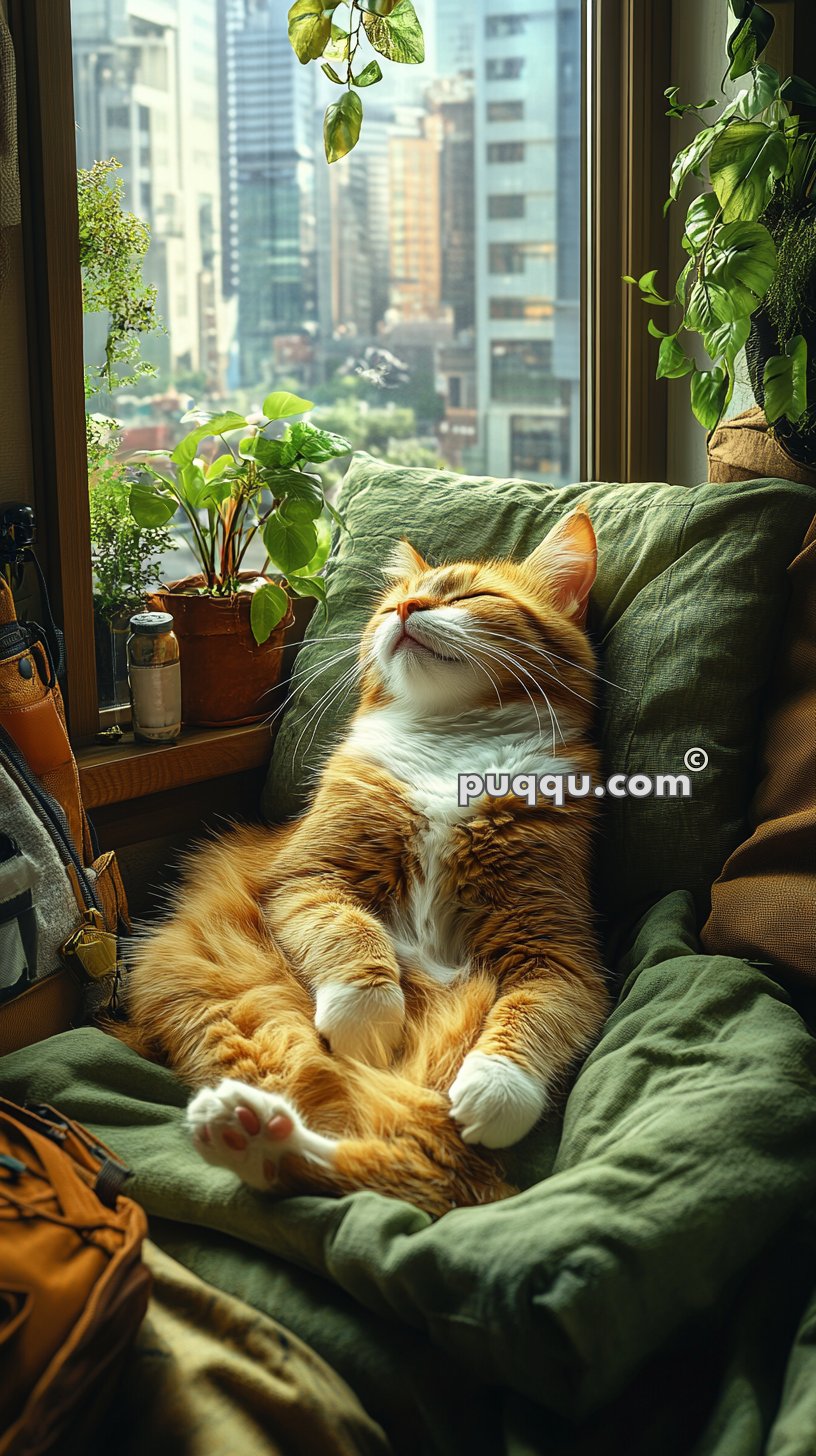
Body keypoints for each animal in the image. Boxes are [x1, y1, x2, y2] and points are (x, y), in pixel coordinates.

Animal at [119, 512, 606, 1217]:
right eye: (392, 603)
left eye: (470, 596)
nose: (405, 609)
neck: (454, 747)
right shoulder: (311, 877)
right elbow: (353, 940)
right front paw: (367, 1018)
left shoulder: (558, 949)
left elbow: (532, 1016)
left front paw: (494, 1087)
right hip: (236, 1004)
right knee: (349, 1126)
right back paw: (245, 1129)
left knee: (398, 1159)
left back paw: (248, 1134)